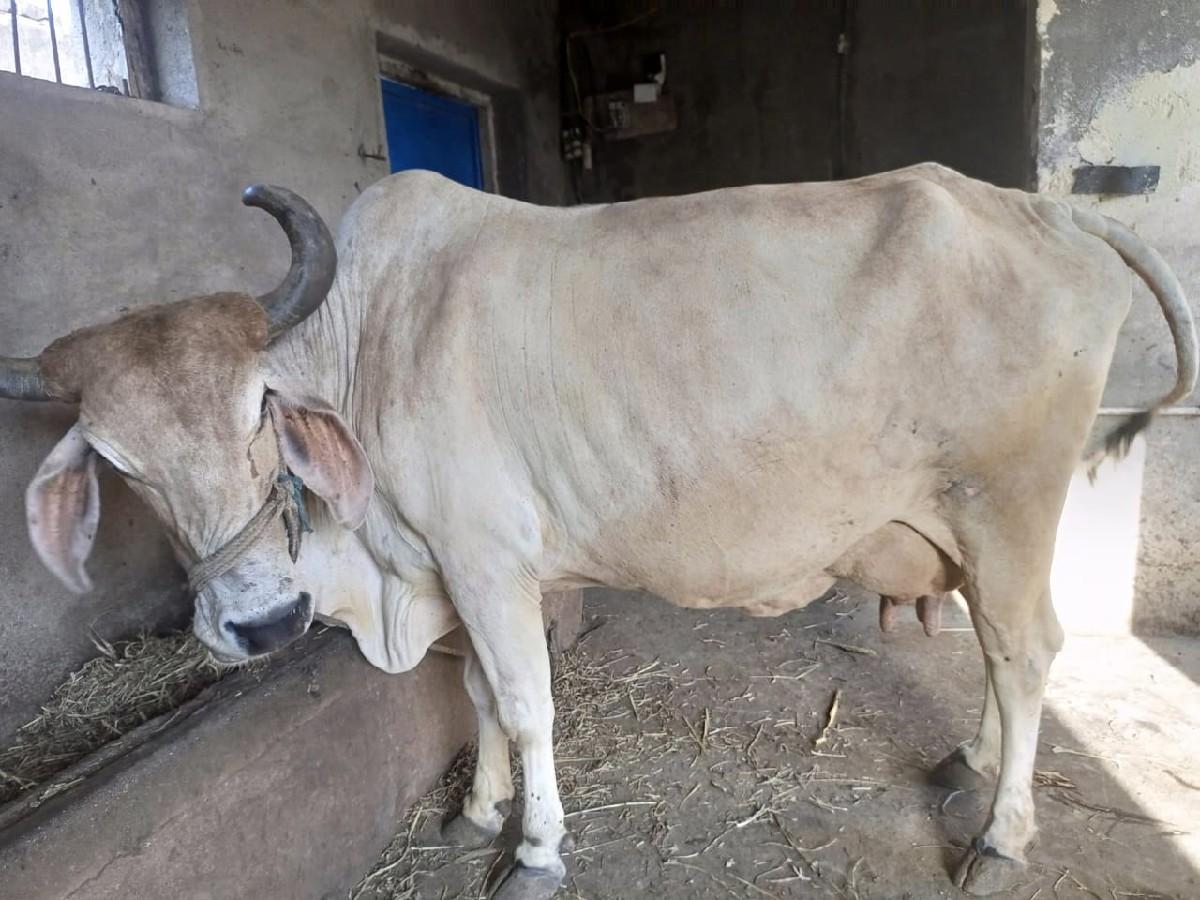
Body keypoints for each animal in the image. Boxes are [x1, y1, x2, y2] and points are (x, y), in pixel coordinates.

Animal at [1, 163, 1193, 898]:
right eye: (114, 461)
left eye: (259, 408)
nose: (257, 624)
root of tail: (1042, 209)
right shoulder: (457, 573)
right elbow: (478, 694)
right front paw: (476, 811)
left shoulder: (485, 558)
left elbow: (525, 704)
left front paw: (533, 849)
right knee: (998, 656)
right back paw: (970, 764)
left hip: (1009, 501)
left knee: (1027, 650)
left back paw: (1000, 837)